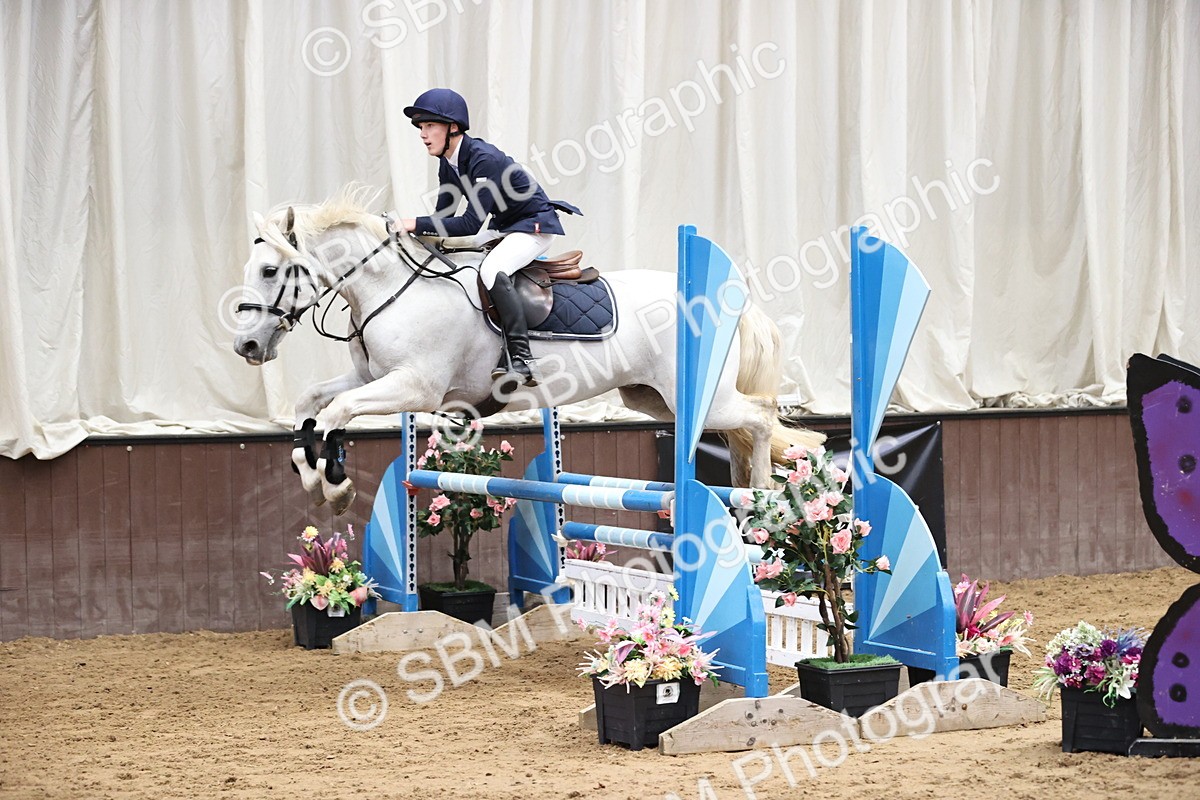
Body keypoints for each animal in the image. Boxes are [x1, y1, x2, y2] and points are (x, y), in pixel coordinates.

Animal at [231, 185, 823, 514]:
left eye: (270, 271)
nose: (246, 345)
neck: (392, 288)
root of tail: (729, 301)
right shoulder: (372, 379)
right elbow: (311, 406)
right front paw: (314, 479)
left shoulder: (415, 388)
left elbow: (335, 414)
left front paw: (334, 486)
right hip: (652, 399)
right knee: (746, 426)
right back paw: (749, 496)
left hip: (701, 397)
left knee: (762, 416)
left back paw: (763, 498)